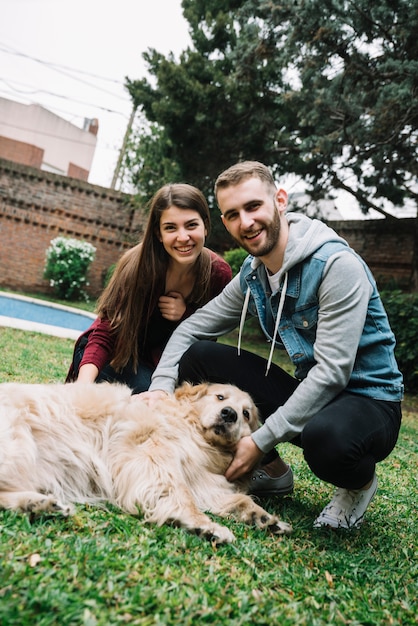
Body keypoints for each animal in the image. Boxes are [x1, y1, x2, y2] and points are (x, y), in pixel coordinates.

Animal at [0, 378, 290, 544]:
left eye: (246, 414)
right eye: (220, 398)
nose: (229, 414)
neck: (194, 431)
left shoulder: (203, 481)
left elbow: (238, 499)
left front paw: (266, 519)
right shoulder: (155, 455)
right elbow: (182, 495)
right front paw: (203, 525)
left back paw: (38, 505)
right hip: (18, 445)